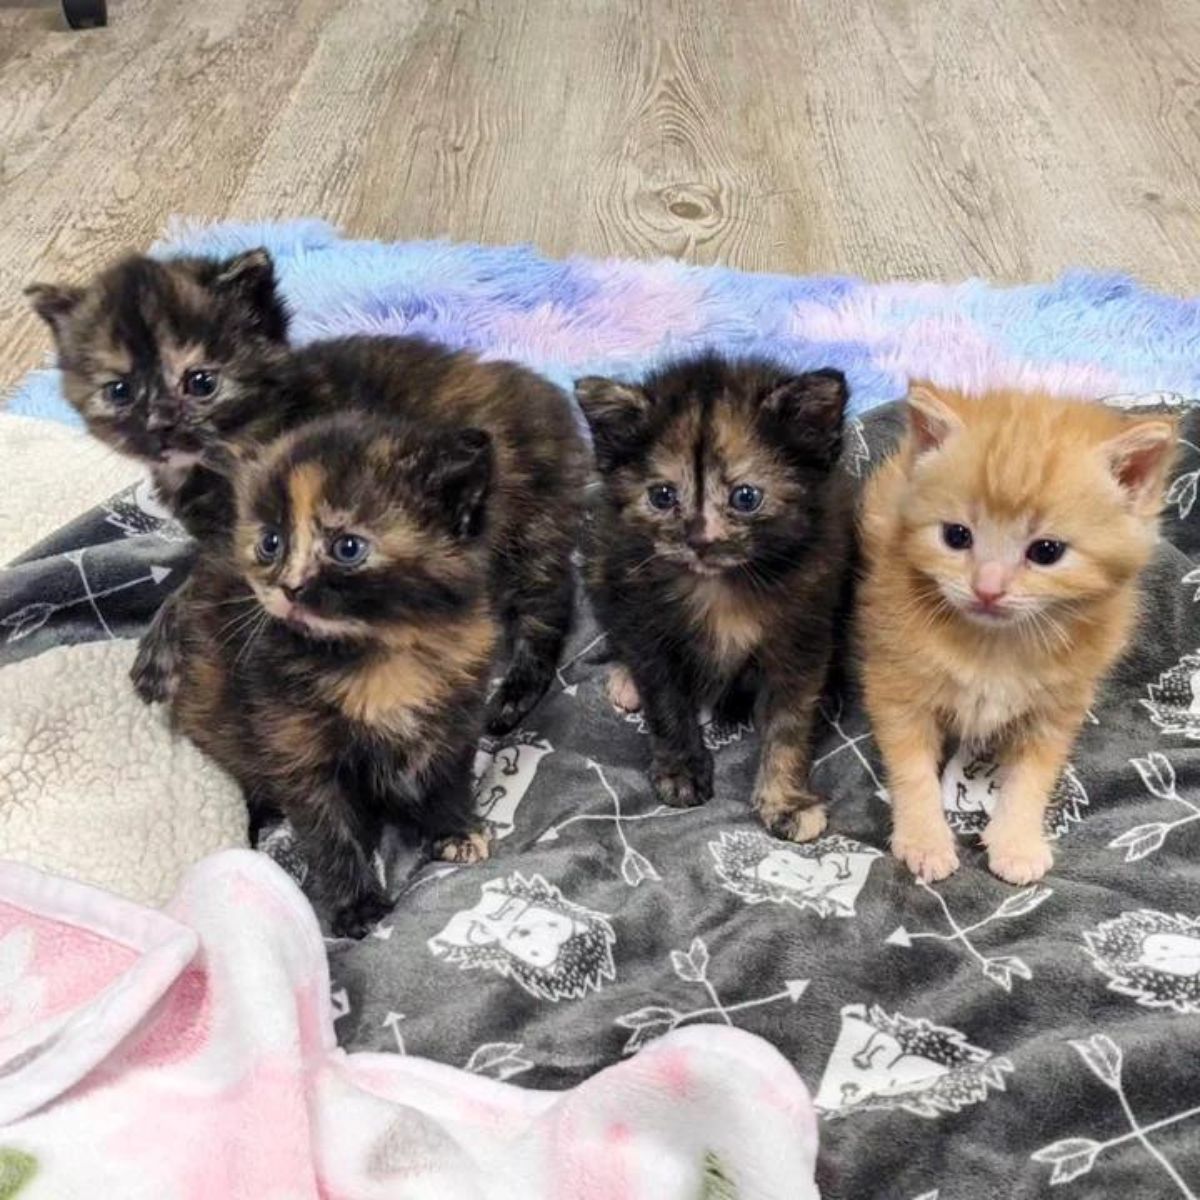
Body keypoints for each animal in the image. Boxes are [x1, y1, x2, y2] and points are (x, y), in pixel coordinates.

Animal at [172, 412, 496, 936]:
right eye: (271, 543)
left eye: (347, 547)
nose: (289, 587)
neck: (377, 654)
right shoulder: (299, 753)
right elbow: (331, 833)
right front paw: (359, 906)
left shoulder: (456, 716)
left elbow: (448, 779)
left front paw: (456, 829)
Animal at [573, 352, 849, 844]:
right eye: (662, 495)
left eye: (746, 496)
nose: (698, 540)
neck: (720, 587)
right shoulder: (645, 622)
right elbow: (666, 702)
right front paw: (681, 769)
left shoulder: (804, 630)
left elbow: (790, 723)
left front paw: (786, 799)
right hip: (601, 562)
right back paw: (625, 678)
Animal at [859, 381, 1176, 883]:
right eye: (956, 536)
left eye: (1046, 551)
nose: (987, 589)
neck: (996, 646)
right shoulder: (895, 684)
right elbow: (911, 769)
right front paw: (924, 839)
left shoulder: (1058, 708)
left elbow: (1032, 778)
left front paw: (1017, 842)